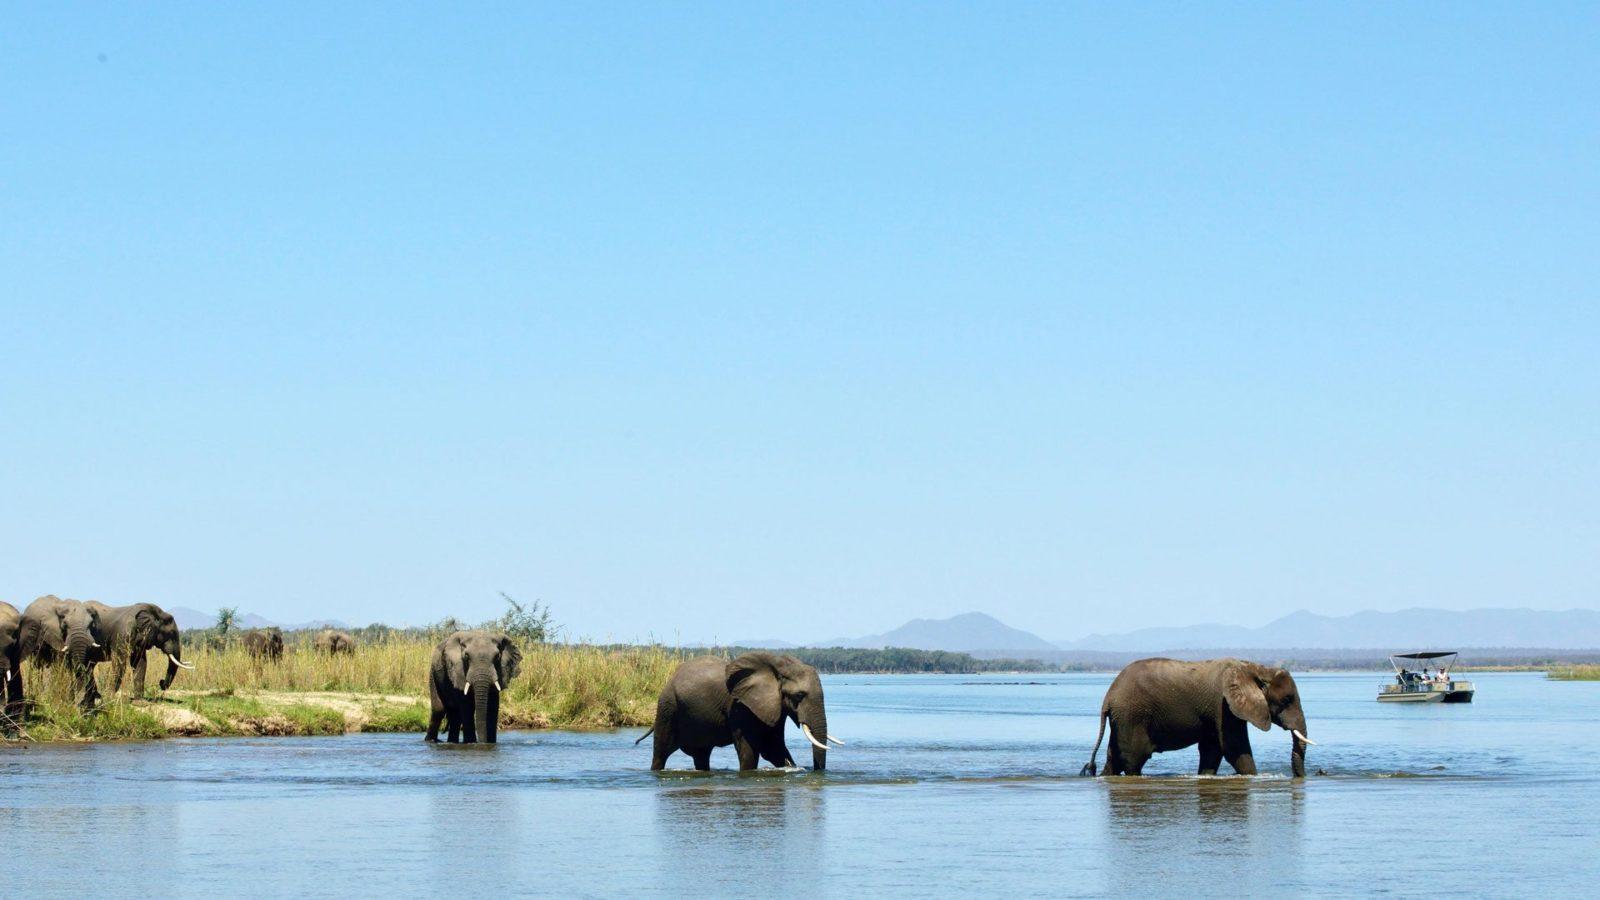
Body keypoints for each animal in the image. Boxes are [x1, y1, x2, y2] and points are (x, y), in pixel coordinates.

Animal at [1081, 656, 1318, 775]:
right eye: (1286, 700)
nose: (1303, 777)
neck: (1254, 668)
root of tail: (1108, 696)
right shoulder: (1224, 705)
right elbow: (1234, 748)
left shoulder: (1217, 711)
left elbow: (1212, 750)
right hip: (1133, 716)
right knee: (1133, 760)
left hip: (1121, 719)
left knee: (1113, 758)